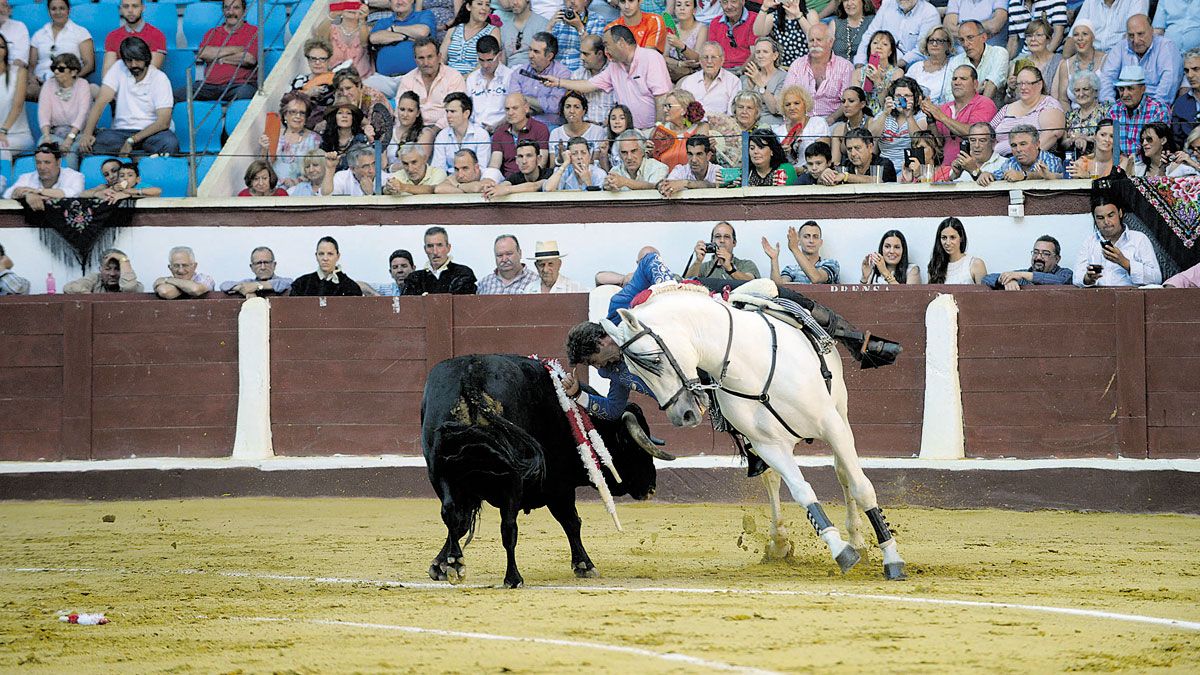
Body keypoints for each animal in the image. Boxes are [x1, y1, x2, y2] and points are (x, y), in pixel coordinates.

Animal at [420, 355, 667, 586]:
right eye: (635, 448)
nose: (651, 488)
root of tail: (472, 373)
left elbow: (460, 523)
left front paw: (443, 565)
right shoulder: (559, 487)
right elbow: (571, 521)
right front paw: (584, 565)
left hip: (440, 470)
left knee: (452, 514)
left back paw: (460, 564)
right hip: (510, 479)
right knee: (508, 526)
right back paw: (513, 578)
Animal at [604, 281, 902, 576]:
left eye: (654, 360)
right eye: (634, 372)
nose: (683, 415)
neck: (748, 364)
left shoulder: (831, 425)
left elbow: (861, 487)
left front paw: (891, 558)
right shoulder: (767, 445)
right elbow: (802, 492)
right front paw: (841, 550)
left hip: (840, 411)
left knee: (843, 474)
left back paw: (858, 539)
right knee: (773, 479)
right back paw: (779, 542)